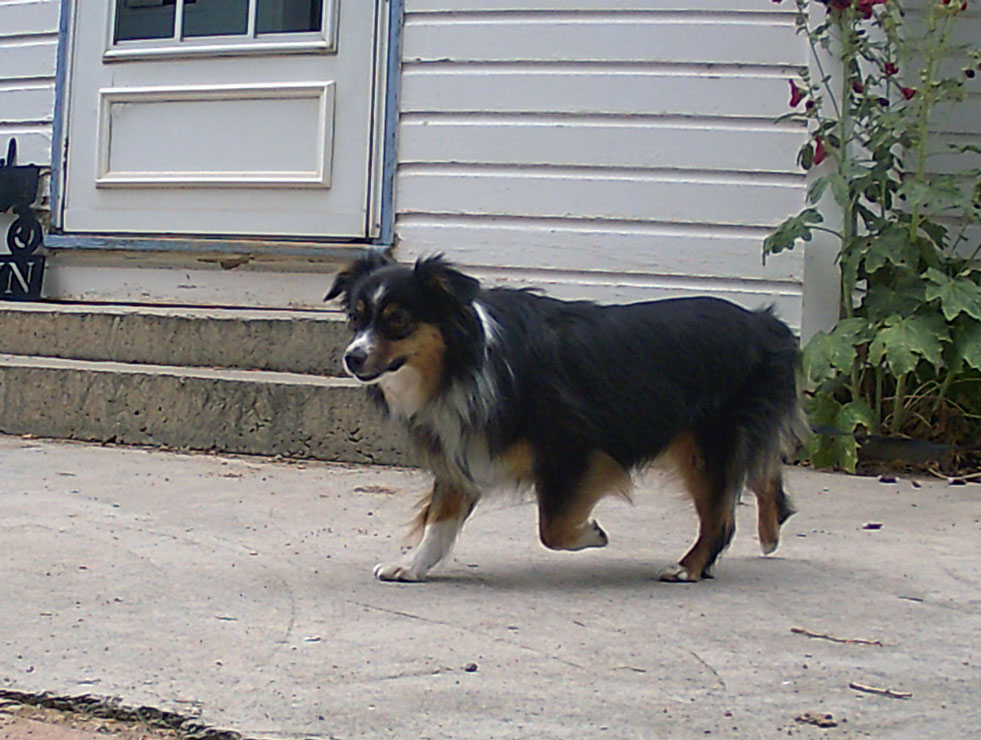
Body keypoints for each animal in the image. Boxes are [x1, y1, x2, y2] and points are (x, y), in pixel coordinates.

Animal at [326, 253, 805, 583]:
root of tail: (767, 324)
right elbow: (440, 522)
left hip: (709, 442)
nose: (351, 357)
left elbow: (552, 528)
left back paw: (689, 567)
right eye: (355, 319)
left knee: (721, 517)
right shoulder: (465, 446)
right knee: (763, 467)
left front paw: (592, 533)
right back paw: (771, 530)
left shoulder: (574, 447)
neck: (463, 361)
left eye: (398, 321)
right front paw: (412, 566)